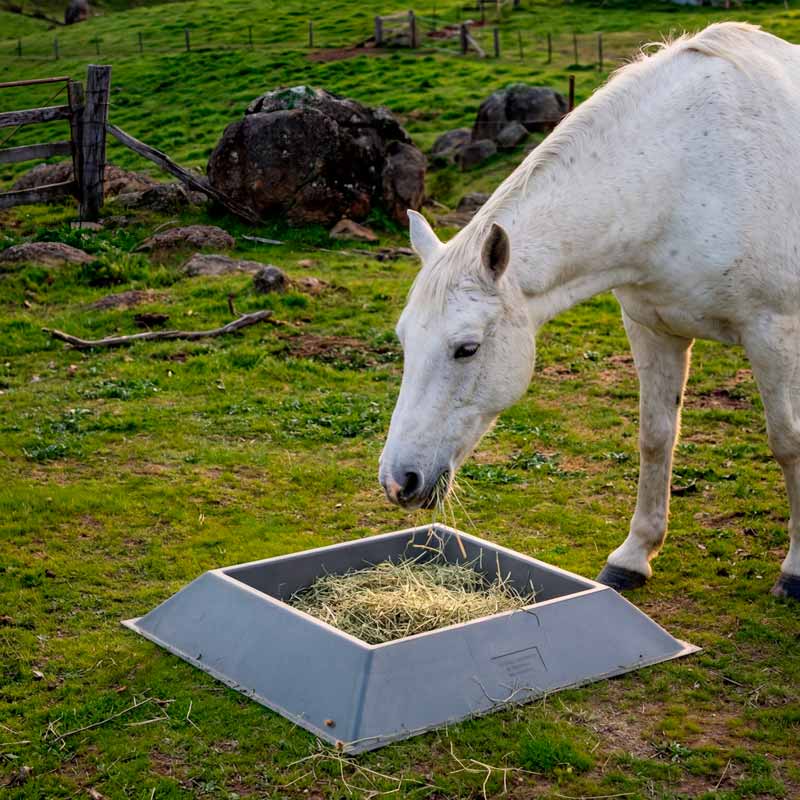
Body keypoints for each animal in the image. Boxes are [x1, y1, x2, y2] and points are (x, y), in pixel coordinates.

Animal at [379, 22, 800, 601]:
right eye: (404, 342)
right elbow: (655, 438)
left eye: (467, 349)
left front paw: (796, 569)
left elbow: (787, 443)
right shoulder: (652, 328)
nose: (399, 481)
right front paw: (633, 557)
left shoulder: (772, 334)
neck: (688, 174)